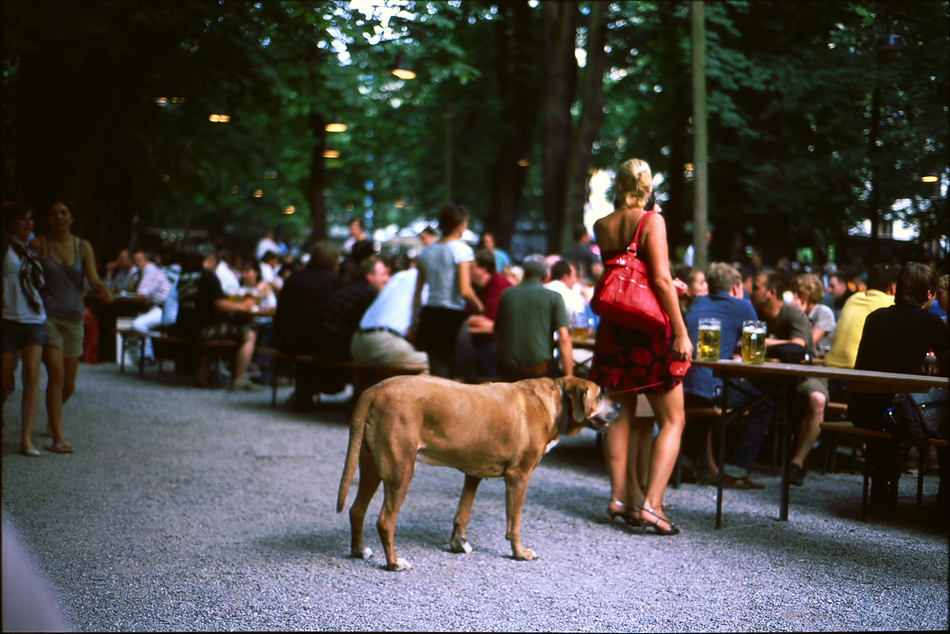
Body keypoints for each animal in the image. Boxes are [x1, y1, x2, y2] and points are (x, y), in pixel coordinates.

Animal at [338, 372, 612, 572]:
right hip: (400, 472)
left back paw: (359, 550)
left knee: (356, 510)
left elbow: (463, 513)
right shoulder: (519, 478)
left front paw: (458, 543)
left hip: (372, 468)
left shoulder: (473, 474)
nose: (618, 406)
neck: (556, 402)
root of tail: (376, 389)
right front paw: (519, 552)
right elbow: (514, 525)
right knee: (385, 521)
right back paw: (394, 563)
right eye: (600, 395)